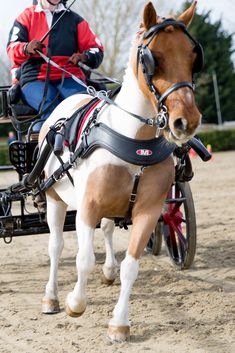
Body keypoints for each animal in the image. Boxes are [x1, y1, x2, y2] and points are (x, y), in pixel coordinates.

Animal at [38, 0, 202, 340]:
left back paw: (109, 270)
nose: (187, 122)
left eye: (194, 58)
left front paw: (120, 323)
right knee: (56, 247)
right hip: (55, 199)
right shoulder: (86, 207)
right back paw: (51, 297)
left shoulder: (148, 212)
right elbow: (83, 259)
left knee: (108, 229)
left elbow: (131, 266)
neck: (135, 140)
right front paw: (75, 302)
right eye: (152, 58)